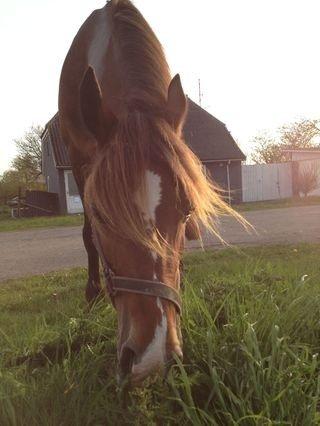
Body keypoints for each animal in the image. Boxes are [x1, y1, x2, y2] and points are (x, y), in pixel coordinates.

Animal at [58, 0, 242, 384]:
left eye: (187, 210)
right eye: (102, 215)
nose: (152, 360)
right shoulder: (80, 159)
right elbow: (87, 235)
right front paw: (92, 294)